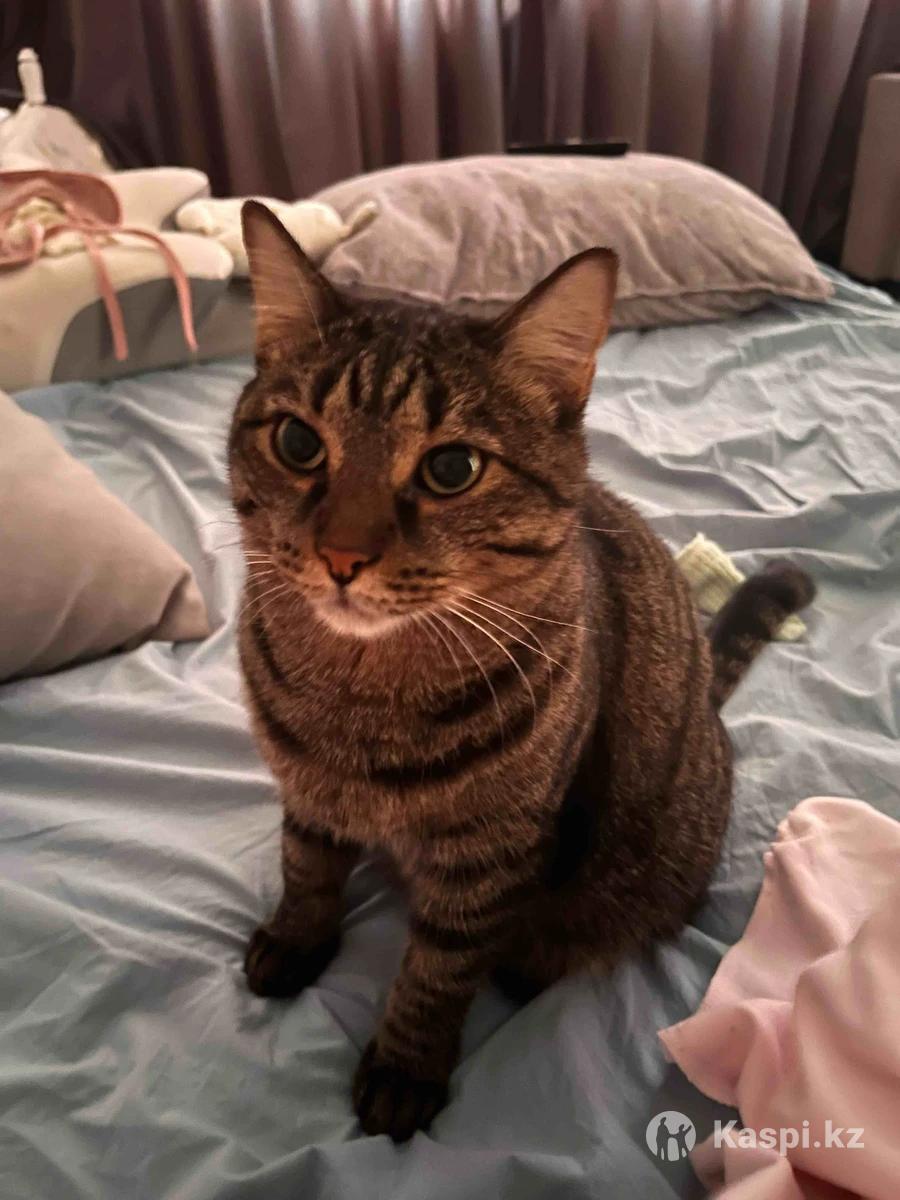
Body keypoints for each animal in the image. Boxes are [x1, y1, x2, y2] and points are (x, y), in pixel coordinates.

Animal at [229, 200, 815, 1142]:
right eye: (296, 442)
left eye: (451, 468)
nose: (342, 557)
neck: (358, 692)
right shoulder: (309, 791)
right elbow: (306, 867)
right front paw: (296, 937)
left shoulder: (491, 851)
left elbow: (437, 970)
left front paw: (405, 1066)